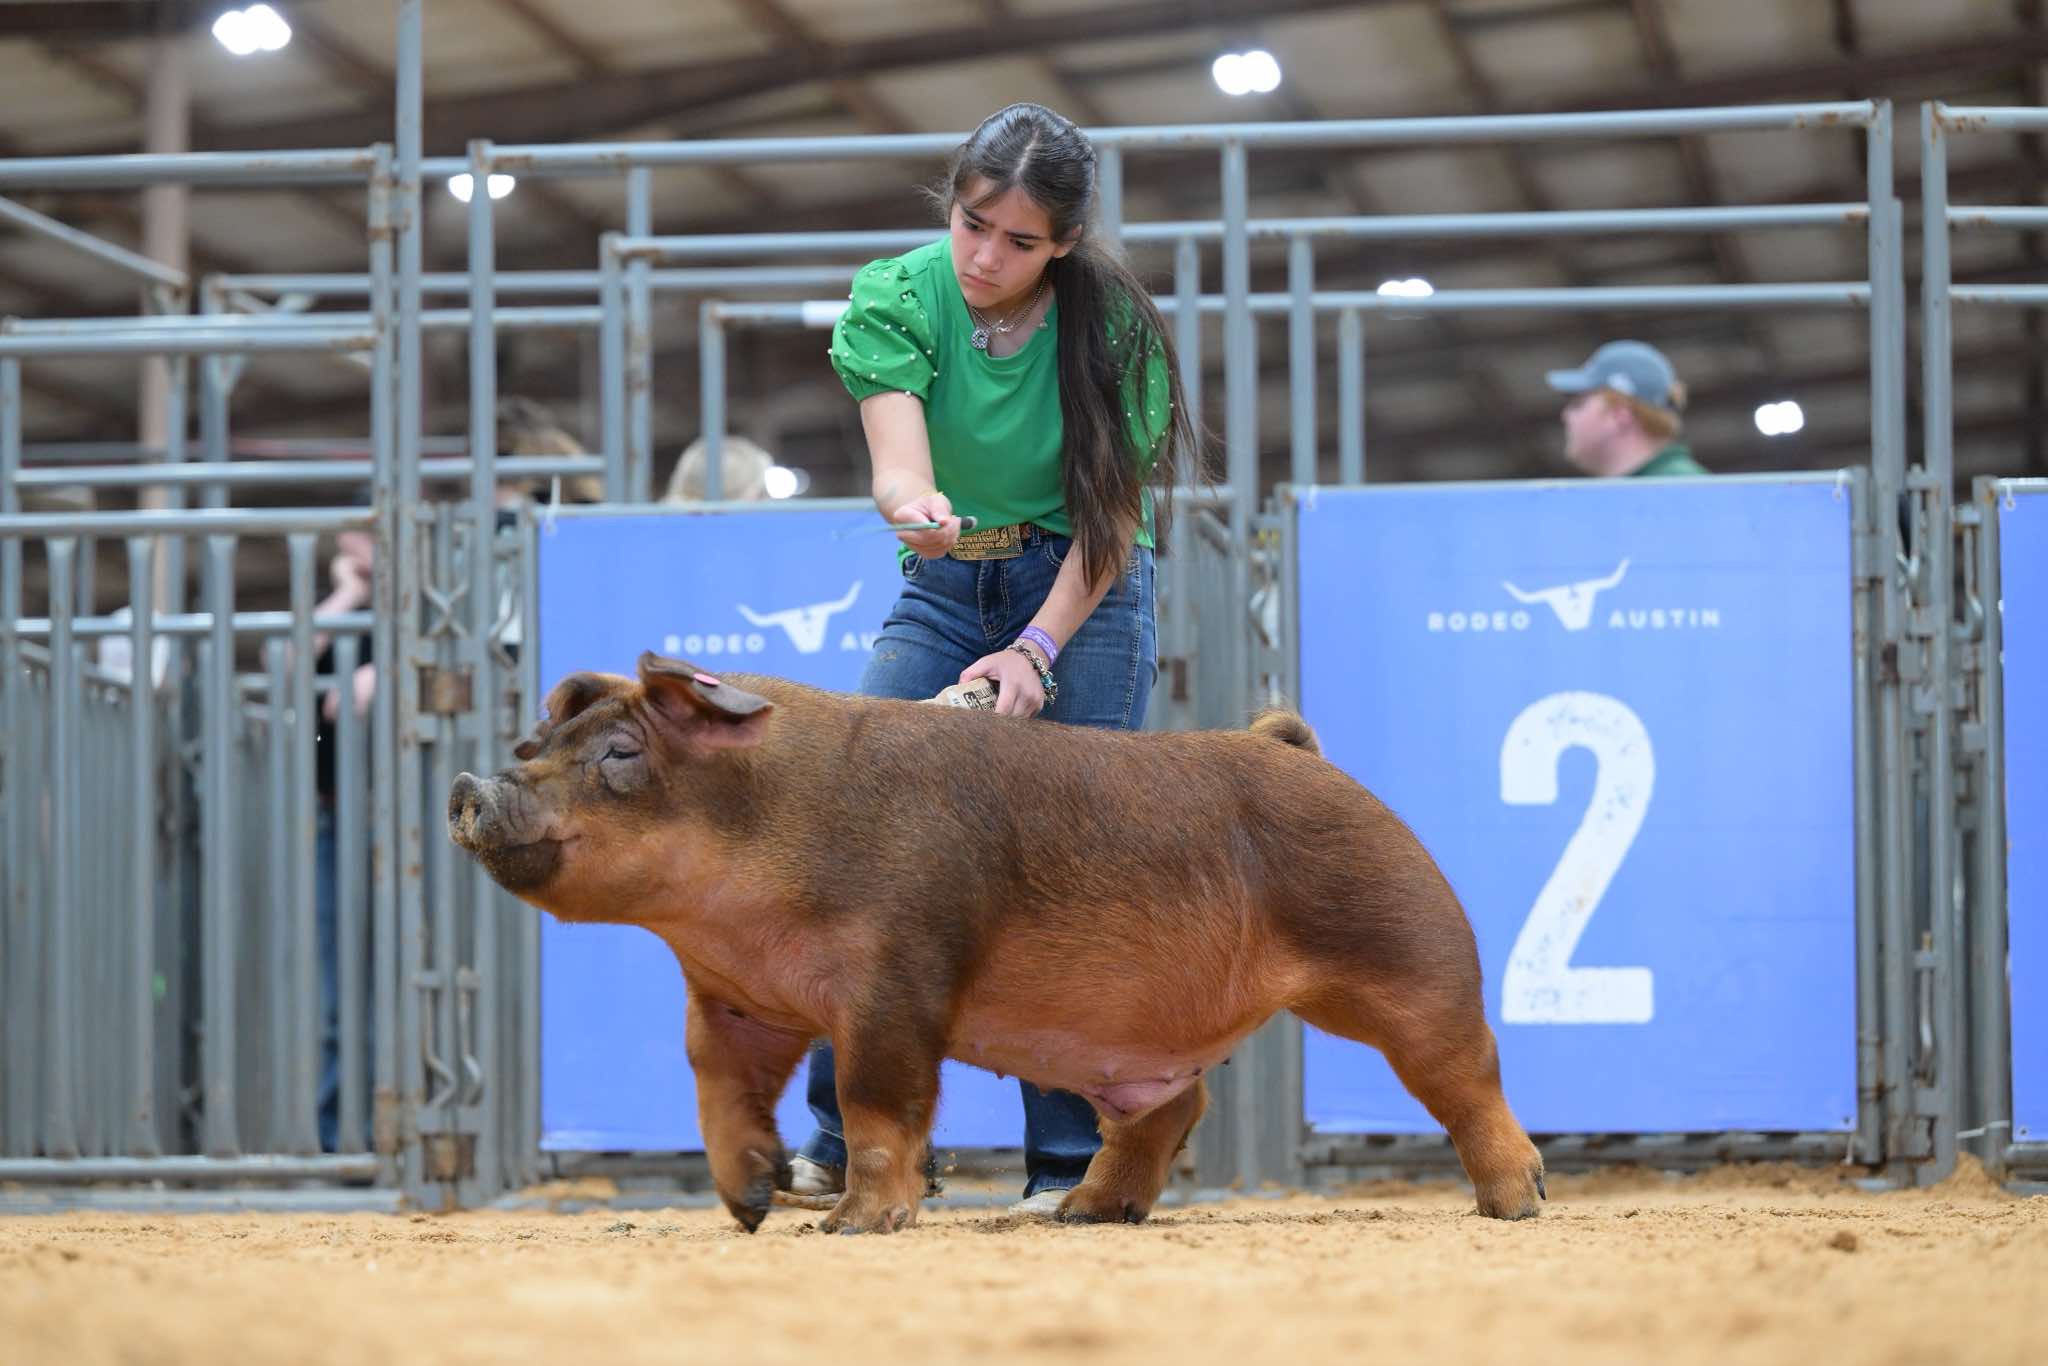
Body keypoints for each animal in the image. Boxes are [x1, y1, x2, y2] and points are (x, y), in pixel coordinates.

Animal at [448, 652, 1544, 1235]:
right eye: (535, 748)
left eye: (621, 752)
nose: (469, 787)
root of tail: (1294, 748)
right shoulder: (729, 999)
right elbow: (715, 1093)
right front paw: (755, 1203)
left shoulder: (896, 980)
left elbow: (876, 1098)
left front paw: (854, 1225)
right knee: (1171, 1104)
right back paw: (1083, 1215)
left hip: (1409, 951)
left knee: (1467, 1074)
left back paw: (1516, 1204)